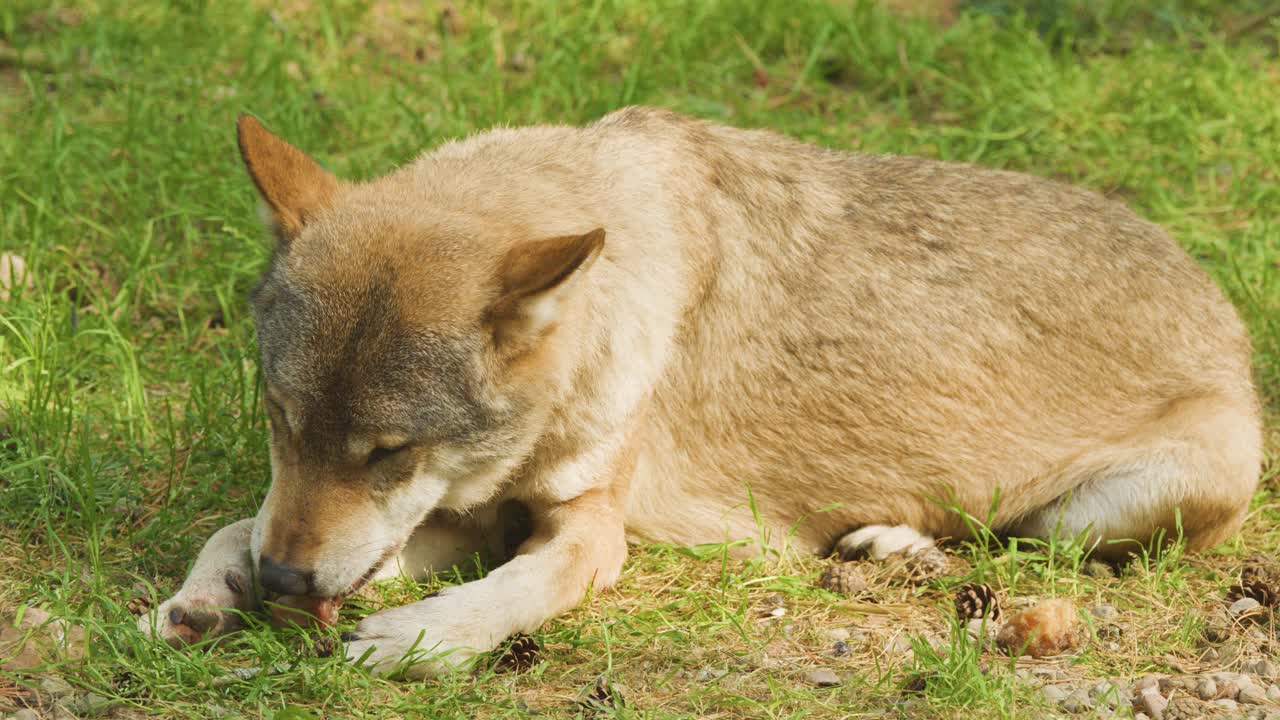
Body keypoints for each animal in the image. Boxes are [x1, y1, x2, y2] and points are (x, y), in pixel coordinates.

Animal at [139, 107, 1261, 677]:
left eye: (389, 454)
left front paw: (420, 636)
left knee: (1017, 540)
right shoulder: (460, 512)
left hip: (1121, 508)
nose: (285, 584)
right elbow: (234, 526)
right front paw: (203, 597)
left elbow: (519, 590)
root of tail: (1224, 308)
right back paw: (883, 541)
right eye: (281, 424)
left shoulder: (584, 530)